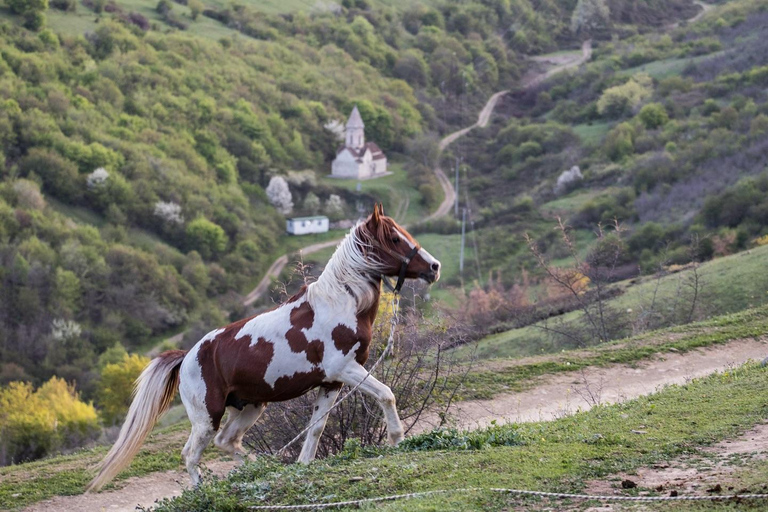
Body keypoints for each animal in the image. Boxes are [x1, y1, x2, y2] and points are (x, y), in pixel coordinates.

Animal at [85, 205, 440, 492]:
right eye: (394, 238)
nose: (434, 267)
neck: (340, 303)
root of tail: (186, 357)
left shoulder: (332, 382)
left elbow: (316, 428)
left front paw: (303, 465)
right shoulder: (346, 369)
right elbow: (386, 394)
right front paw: (397, 438)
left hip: (251, 406)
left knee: (227, 441)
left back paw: (261, 467)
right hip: (207, 416)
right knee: (191, 454)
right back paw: (203, 490)